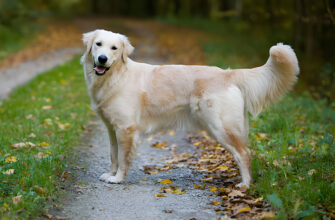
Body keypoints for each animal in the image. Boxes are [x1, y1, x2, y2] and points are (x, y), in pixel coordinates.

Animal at [80, 29, 300, 187]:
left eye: (114, 48)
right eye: (98, 45)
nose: (102, 59)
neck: (116, 76)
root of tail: (227, 73)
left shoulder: (126, 129)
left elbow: (123, 158)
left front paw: (118, 178)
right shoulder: (112, 129)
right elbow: (113, 155)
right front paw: (110, 173)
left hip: (221, 127)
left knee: (244, 154)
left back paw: (244, 186)